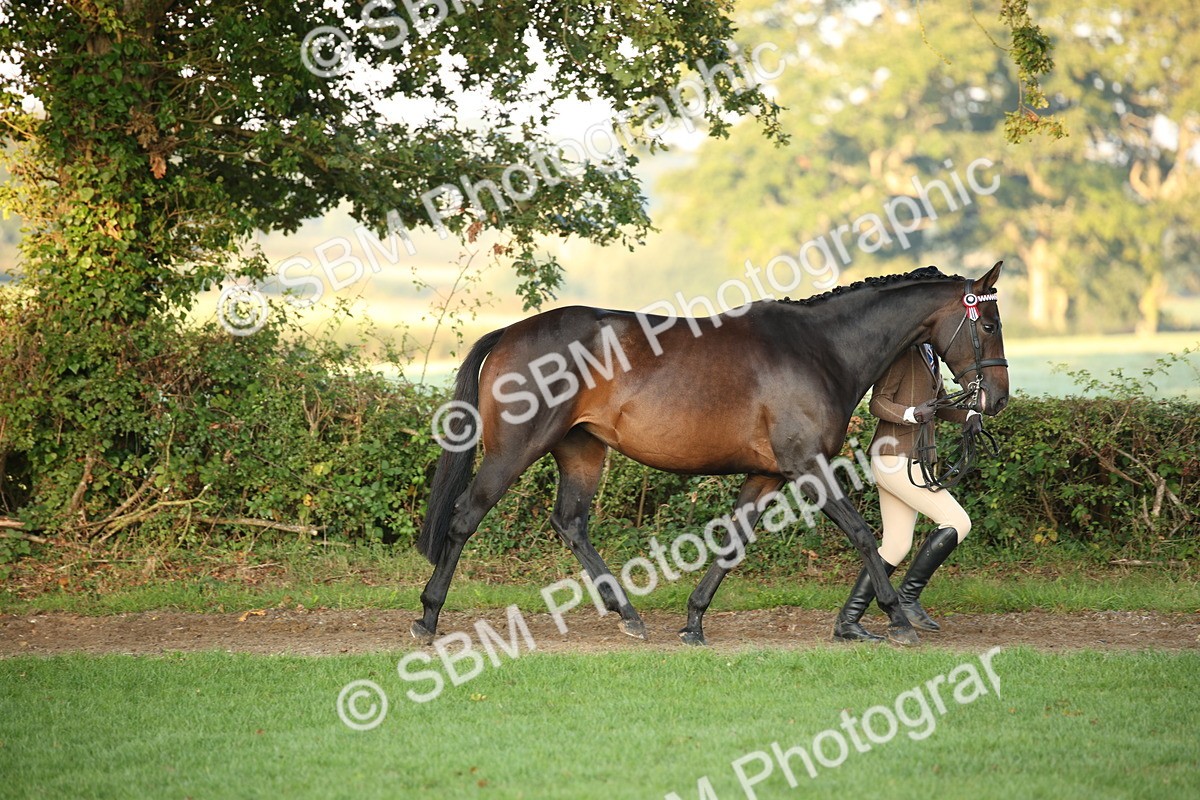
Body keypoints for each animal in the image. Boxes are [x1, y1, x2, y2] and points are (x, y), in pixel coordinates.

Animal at [412, 262, 1009, 646]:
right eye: (988, 323)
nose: (997, 399)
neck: (821, 349)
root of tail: (511, 331)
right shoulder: (808, 468)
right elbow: (864, 536)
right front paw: (898, 622)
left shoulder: (767, 475)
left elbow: (732, 544)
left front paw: (694, 622)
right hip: (515, 448)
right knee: (465, 518)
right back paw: (428, 616)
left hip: (581, 450)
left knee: (571, 524)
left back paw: (629, 615)